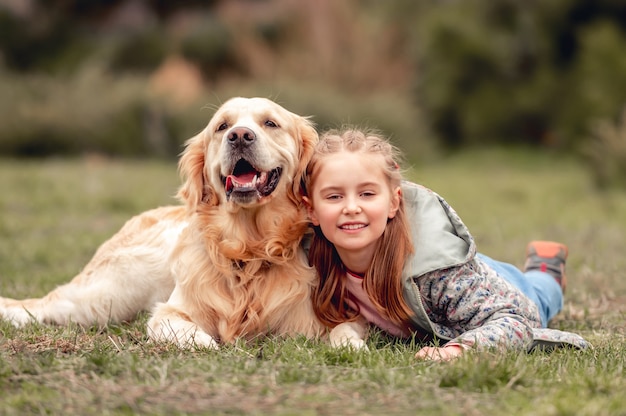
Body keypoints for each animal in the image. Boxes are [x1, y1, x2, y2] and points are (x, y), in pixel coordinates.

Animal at [0, 96, 344, 348]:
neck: (249, 249)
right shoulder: (169, 313)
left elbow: (343, 331)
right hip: (107, 295)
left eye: (270, 123)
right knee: (41, 305)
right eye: (222, 127)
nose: (239, 136)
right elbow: (188, 332)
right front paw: (212, 345)